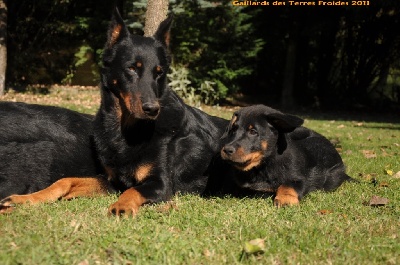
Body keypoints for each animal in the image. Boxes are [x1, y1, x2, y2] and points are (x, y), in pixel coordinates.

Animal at [0, 8, 228, 214]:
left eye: (159, 72)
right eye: (132, 68)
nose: (152, 109)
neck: (125, 131)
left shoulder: (160, 184)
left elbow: (132, 191)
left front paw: (122, 206)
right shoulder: (111, 181)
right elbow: (64, 181)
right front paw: (25, 199)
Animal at [219, 103, 354, 206]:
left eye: (253, 131)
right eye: (233, 130)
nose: (227, 150)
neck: (264, 165)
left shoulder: (301, 179)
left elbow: (288, 185)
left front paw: (286, 199)